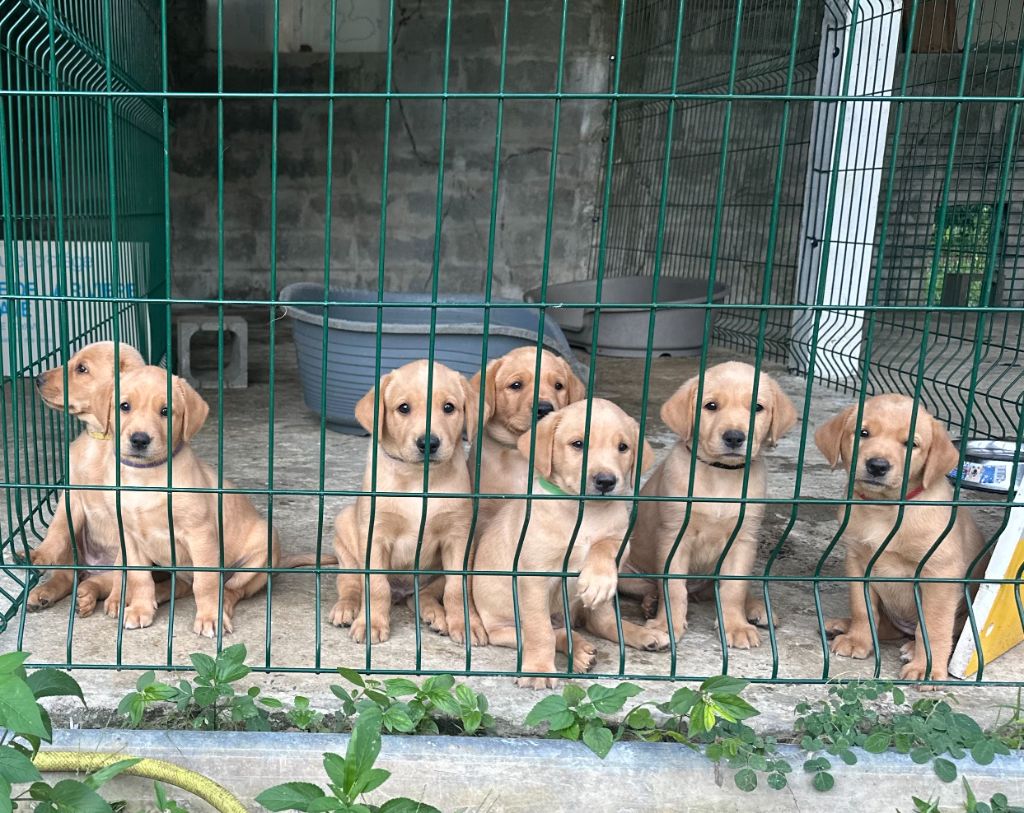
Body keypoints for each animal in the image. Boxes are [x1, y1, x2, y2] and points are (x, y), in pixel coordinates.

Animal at [331, 360, 483, 647]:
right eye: (404, 408)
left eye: (449, 407)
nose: (429, 443)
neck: (416, 478)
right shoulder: (375, 536)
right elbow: (376, 587)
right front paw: (371, 624)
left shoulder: (458, 537)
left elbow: (456, 589)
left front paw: (466, 624)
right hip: (345, 535)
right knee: (350, 583)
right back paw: (346, 607)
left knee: (424, 596)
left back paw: (436, 615)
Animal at [471, 395, 655, 688]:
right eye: (577, 444)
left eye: (623, 447)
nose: (606, 481)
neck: (584, 511)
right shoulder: (534, 577)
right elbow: (540, 631)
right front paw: (537, 670)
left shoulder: (622, 540)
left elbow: (604, 545)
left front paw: (597, 579)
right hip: (504, 629)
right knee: (557, 632)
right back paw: (579, 652)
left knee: (601, 623)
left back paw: (643, 635)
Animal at [622, 360, 798, 647]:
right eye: (711, 406)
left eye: (757, 408)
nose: (734, 437)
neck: (720, 474)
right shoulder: (675, 537)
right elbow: (673, 588)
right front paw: (666, 624)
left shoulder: (743, 540)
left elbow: (734, 588)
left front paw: (735, 626)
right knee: (653, 586)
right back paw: (651, 603)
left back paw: (757, 608)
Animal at [815, 393, 983, 679]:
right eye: (863, 433)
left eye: (911, 444)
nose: (877, 465)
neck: (885, 509)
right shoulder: (857, 561)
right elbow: (862, 607)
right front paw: (858, 640)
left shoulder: (940, 574)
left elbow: (934, 626)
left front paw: (926, 667)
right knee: (886, 625)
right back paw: (842, 626)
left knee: (932, 631)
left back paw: (913, 650)